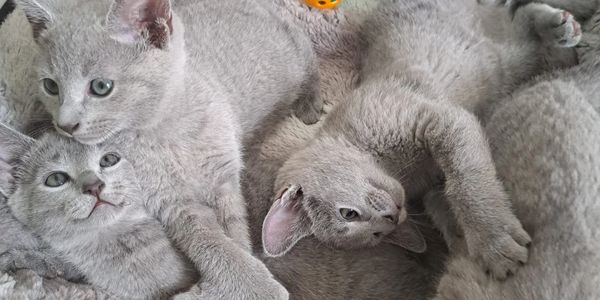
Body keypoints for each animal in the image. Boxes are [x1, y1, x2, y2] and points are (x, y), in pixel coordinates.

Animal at [262, 0, 580, 280]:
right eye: (377, 236)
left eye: (348, 213)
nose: (392, 217)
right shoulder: (430, 183)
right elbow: (441, 200)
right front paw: (460, 237)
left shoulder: (440, 119)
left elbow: (465, 184)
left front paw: (493, 240)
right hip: (510, 61)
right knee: (518, 22)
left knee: (516, 14)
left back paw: (560, 27)